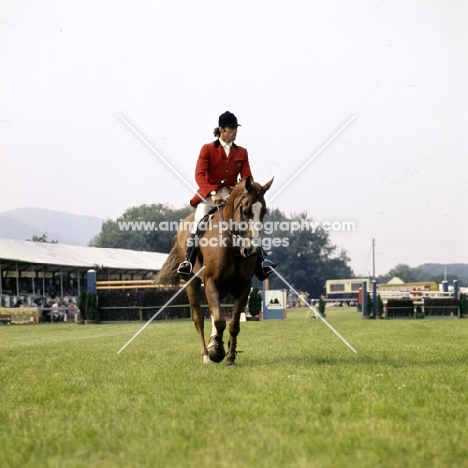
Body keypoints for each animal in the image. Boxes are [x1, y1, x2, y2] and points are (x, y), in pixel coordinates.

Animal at [155, 177, 272, 364]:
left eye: (263, 212)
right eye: (245, 211)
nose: (251, 250)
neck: (232, 245)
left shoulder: (243, 287)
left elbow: (233, 324)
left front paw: (229, 356)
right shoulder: (211, 283)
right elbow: (219, 321)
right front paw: (217, 352)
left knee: (212, 313)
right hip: (193, 283)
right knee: (199, 319)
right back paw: (206, 355)